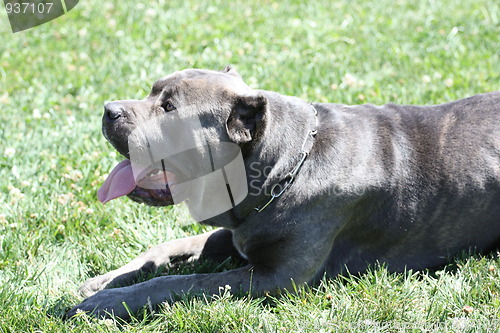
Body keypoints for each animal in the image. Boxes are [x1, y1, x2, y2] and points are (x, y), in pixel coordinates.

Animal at [67, 66, 500, 318]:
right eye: (152, 92)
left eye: (169, 108)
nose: (108, 109)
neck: (287, 165)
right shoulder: (239, 231)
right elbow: (171, 247)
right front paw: (105, 282)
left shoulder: (275, 277)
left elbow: (184, 282)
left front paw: (108, 302)